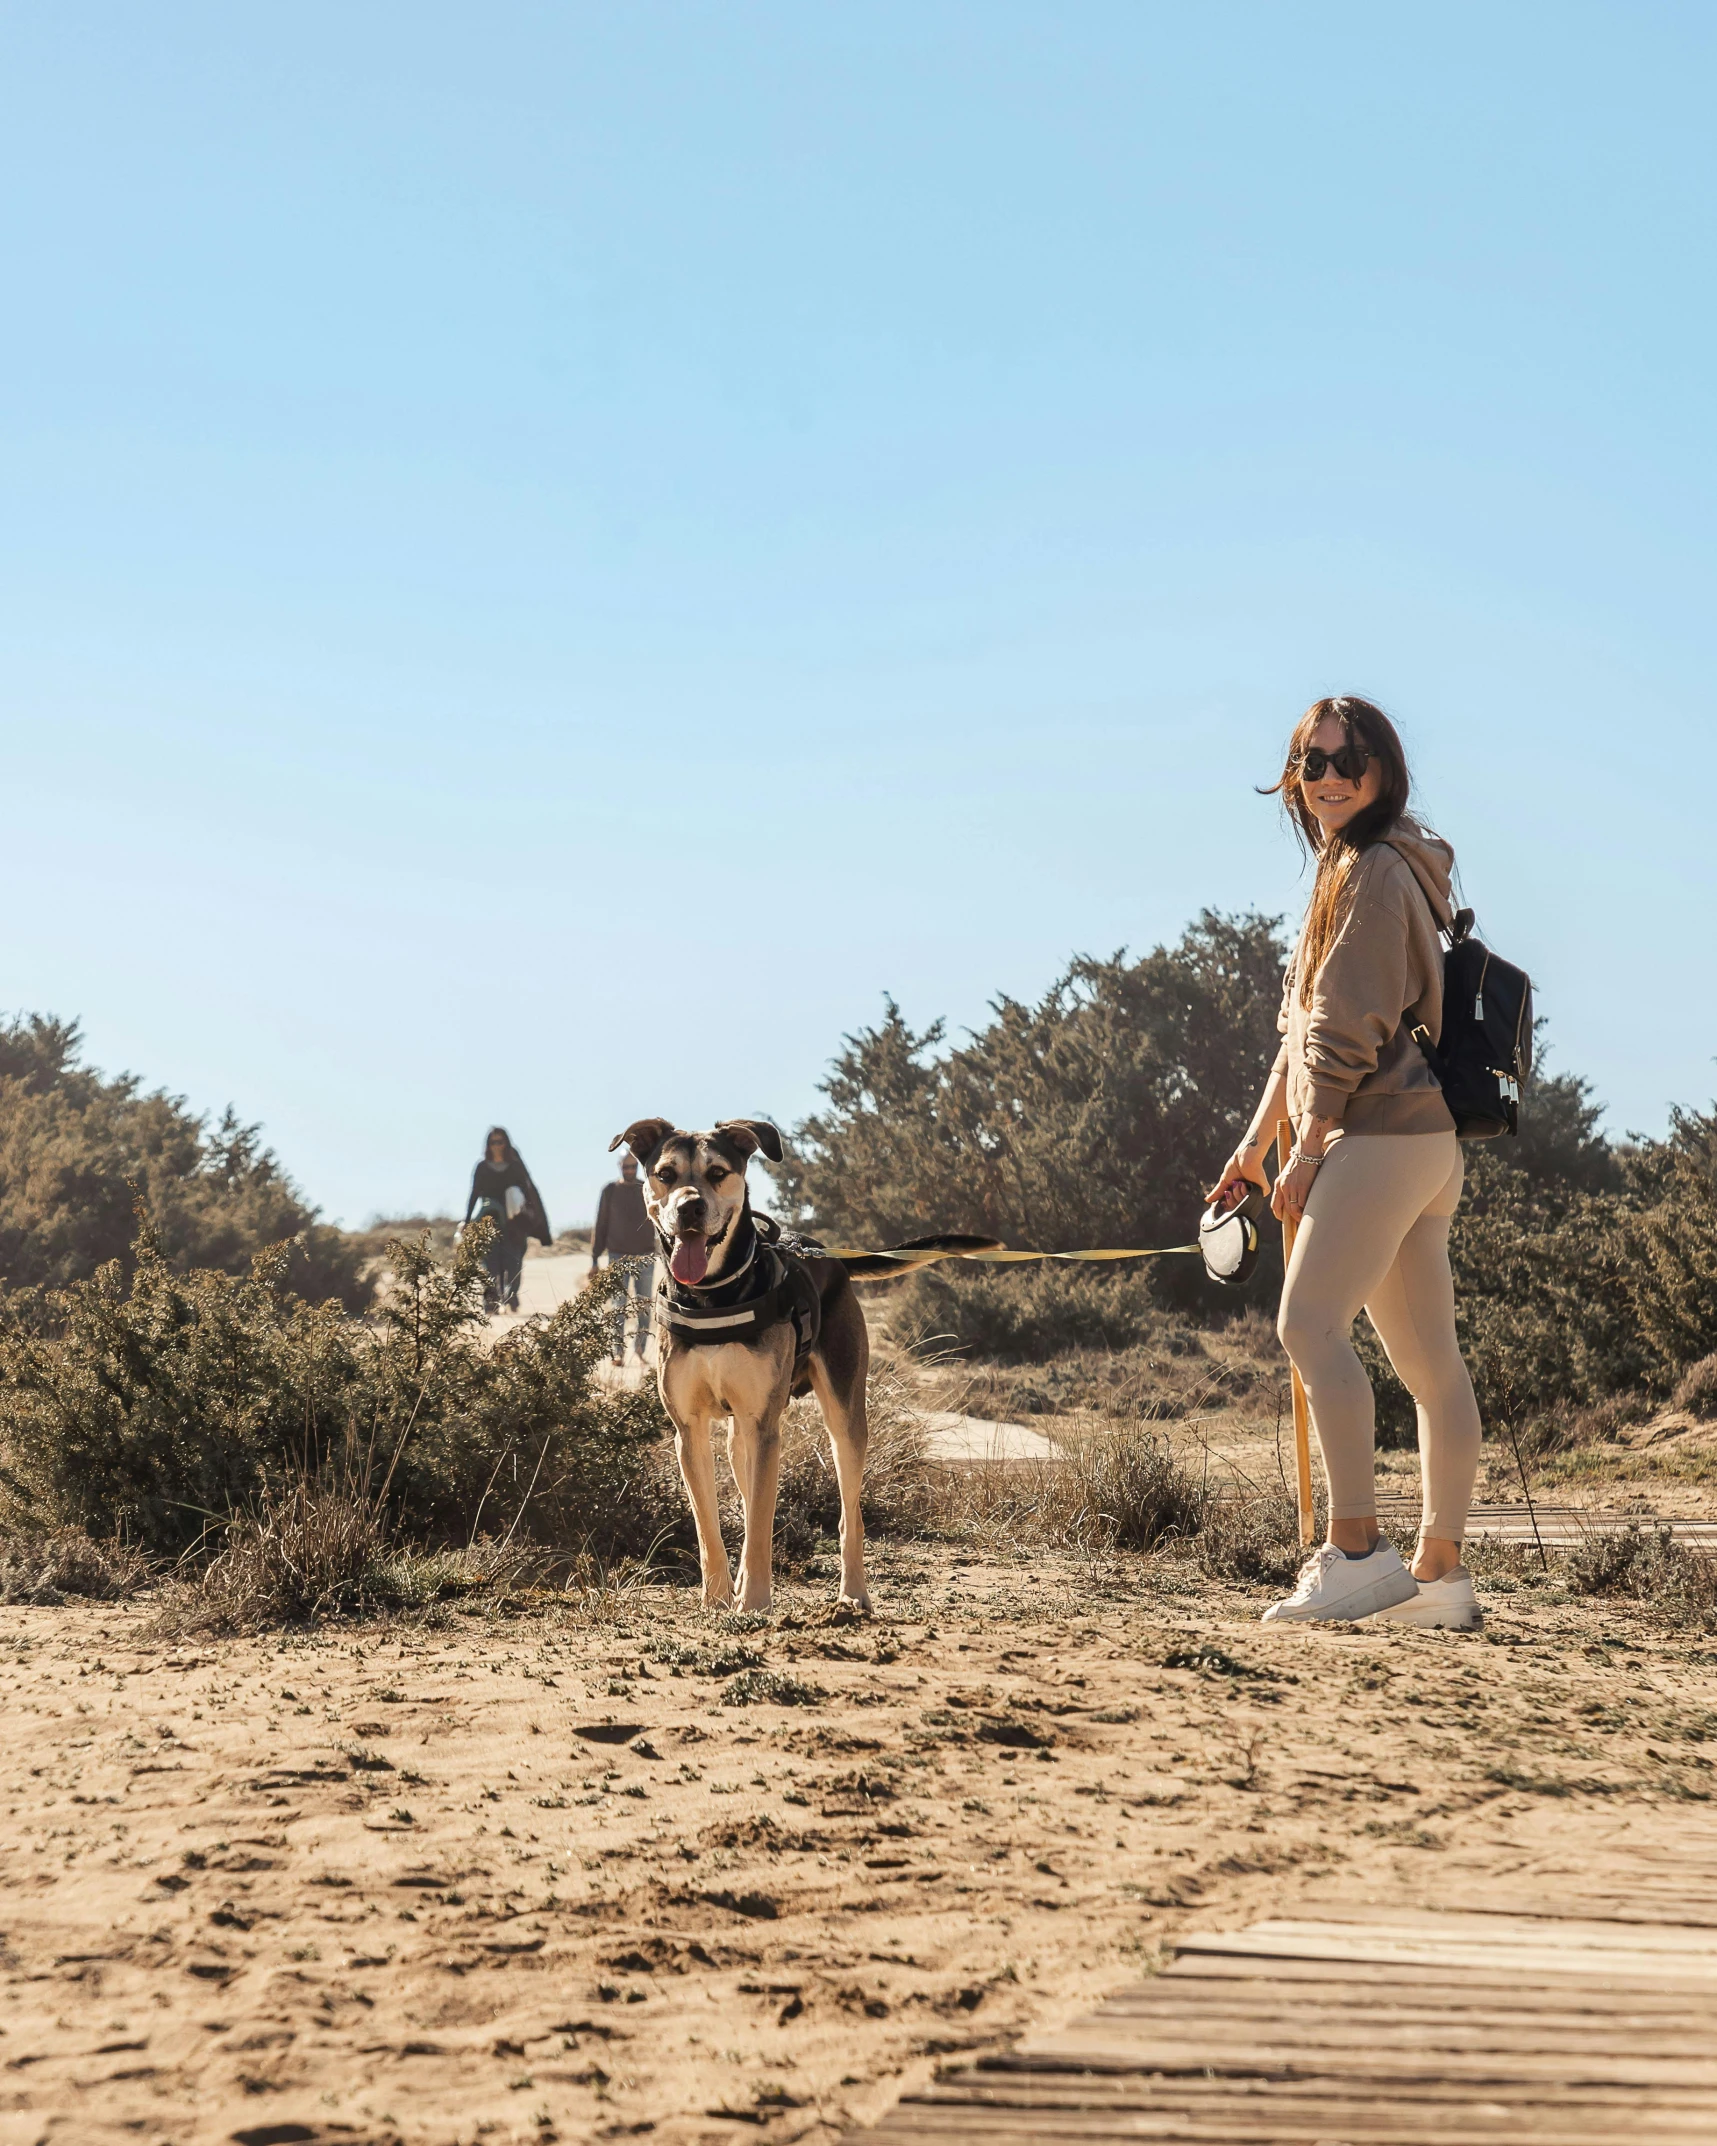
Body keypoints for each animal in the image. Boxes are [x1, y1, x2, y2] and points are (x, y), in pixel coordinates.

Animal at [605, 1124, 871, 1613]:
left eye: (717, 1172)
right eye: (665, 1174)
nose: (690, 1207)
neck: (712, 1295)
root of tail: (826, 1253)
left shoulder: (764, 1425)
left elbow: (761, 1524)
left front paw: (756, 1601)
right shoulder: (689, 1430)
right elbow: (708, 1526)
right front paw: (715, 1598)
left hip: (842, 1414)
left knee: (850, 1513)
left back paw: (853, 1592)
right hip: (738, 1439)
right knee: (747, 1493)